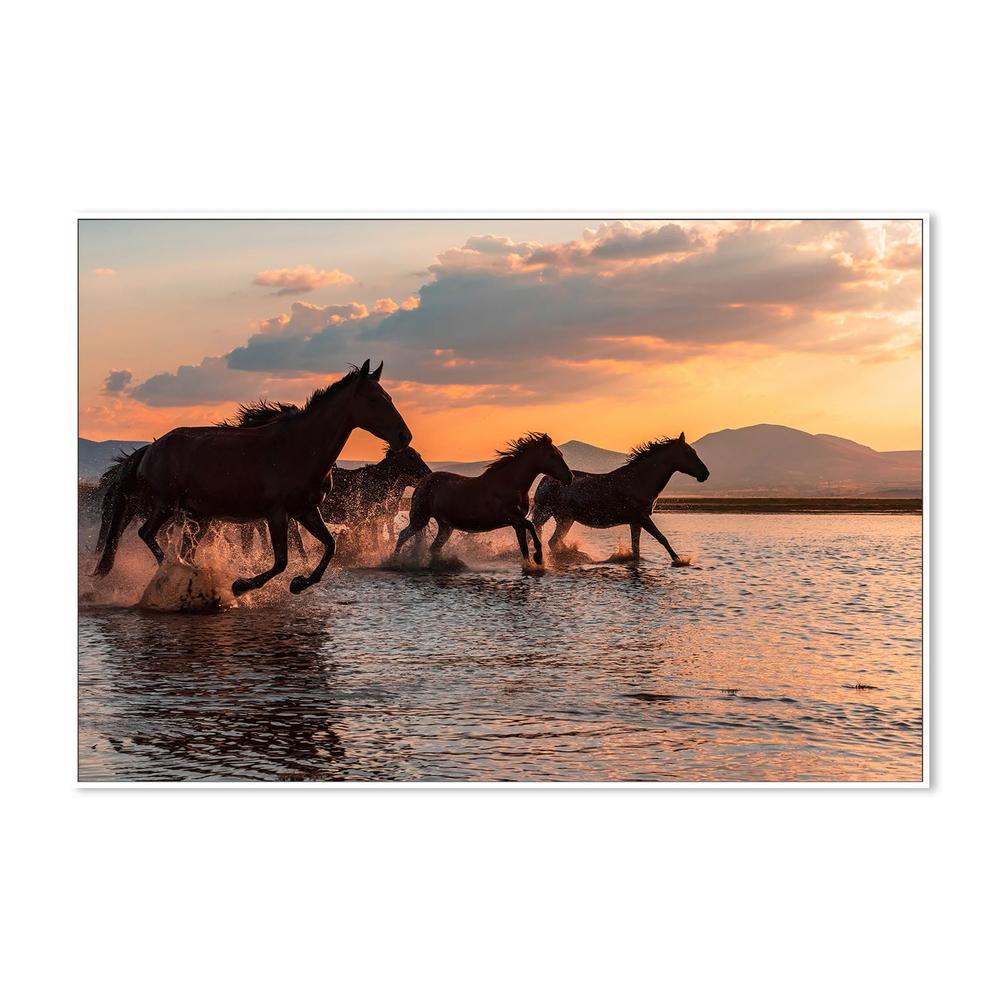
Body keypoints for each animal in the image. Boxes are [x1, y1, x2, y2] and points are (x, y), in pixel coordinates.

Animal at [94, 359, 411, 595]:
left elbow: (329, 546)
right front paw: (242, 585)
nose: (404, 436)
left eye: (390, 397)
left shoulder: (307, 511)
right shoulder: (276, 513)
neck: (299, 448)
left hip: (198, 516)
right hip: (166, 506)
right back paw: (177, 572)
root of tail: (150, 449)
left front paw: (300, 583)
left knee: (183, 547)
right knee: (146, 533)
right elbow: (281, 560)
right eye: (374, 399)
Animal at [394, 432, 572, 565]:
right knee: (403, 535)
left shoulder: (517, 524)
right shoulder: (510, 518)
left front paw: (532, 564)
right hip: (420, 519)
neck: (509, 484)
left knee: (434, 548)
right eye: (553, 456)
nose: (570, 477)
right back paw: (394, 561)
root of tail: (423, 482)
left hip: (446, 526)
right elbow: (531, 526)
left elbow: (524, 547)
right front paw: (539, 558)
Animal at [530, 433, 709, 564]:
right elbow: (662, 538)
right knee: (549, 540)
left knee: (551, 540)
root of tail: (544, 480)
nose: (705, 474)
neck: (640, 480)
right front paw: (679, 560)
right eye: (689, 453)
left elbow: (636, 549)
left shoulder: (635, 522)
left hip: (561, 518)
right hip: (554, 516)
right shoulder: (643, 518)